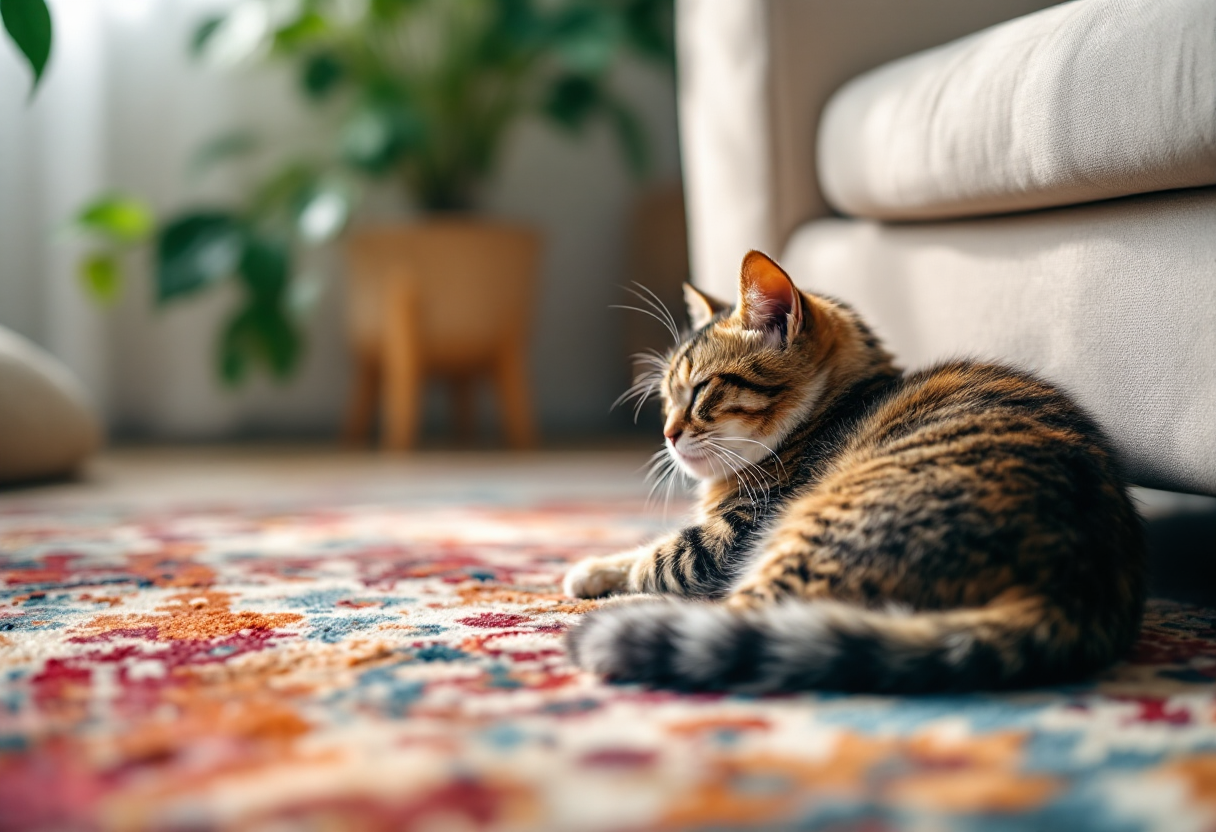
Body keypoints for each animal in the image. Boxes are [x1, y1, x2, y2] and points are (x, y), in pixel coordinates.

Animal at [564, 250, 1143, 690]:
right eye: (666, 397)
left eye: (702, 390)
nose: (667, 434)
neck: (829, 409)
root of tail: (1077, 585)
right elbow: (640, 551)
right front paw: (590, 569)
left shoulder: (729, 536)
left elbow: (658, 558)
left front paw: (595, 579)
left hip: (814, 530)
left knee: (740, 611)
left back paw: (621, 617)